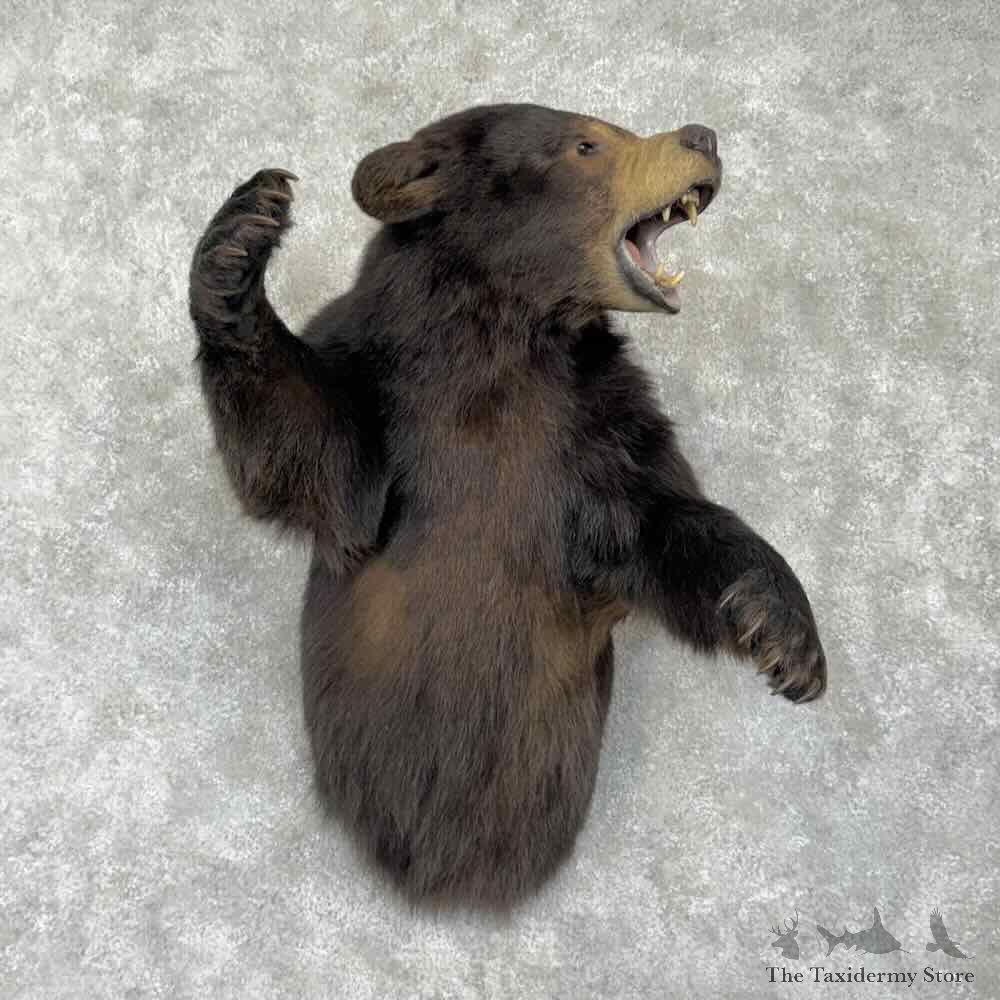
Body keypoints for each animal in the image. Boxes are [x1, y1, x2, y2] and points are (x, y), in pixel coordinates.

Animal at [188, 103, 826, 907]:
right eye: (588, 141)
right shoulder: (383, 382)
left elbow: (661, 521)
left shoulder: (599, 426)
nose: (702, 136)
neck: (508, 336)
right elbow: (313, 453)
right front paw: (243, 234)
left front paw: (783, 635)